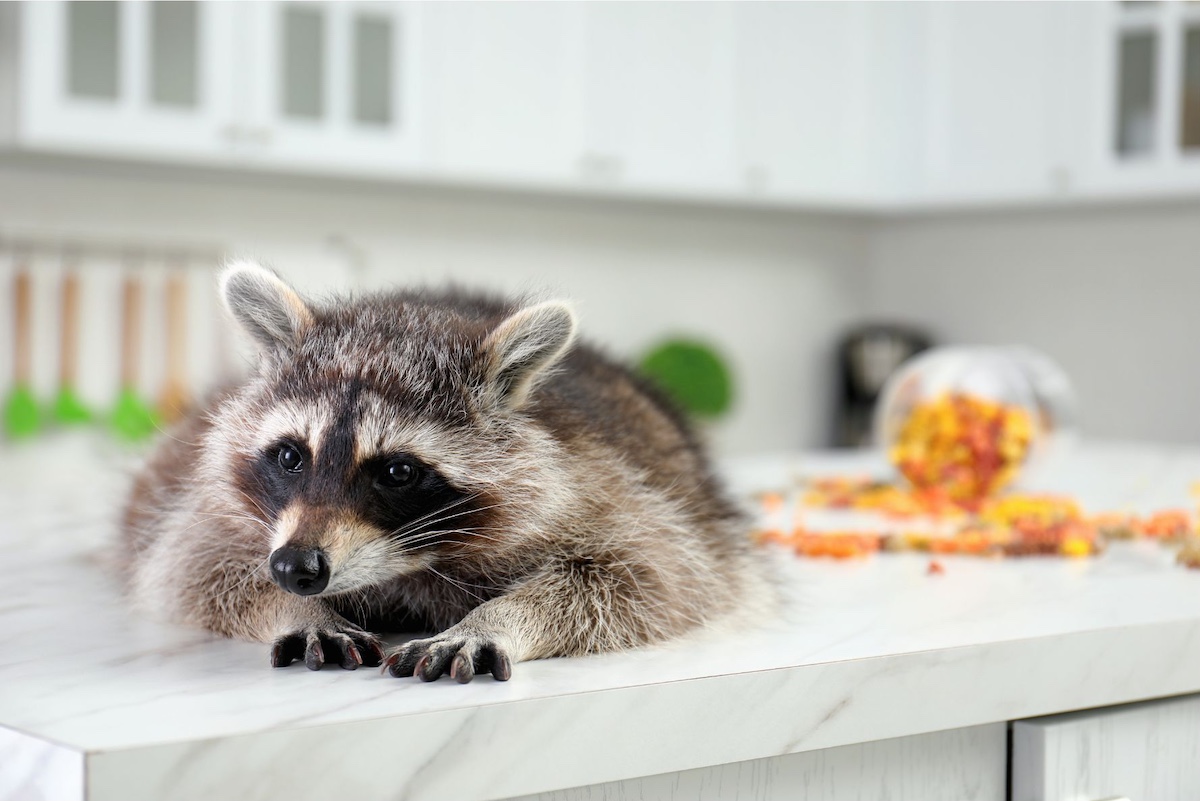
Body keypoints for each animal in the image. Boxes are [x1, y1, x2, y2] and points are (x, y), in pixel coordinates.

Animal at [121, 261, 773, 683]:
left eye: (397, 471)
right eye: (289, 457)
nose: (295, 568)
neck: (408, 565)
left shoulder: (606, 485)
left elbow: (645, 577)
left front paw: (499, 618)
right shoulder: (212, 512)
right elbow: (195, 566)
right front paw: (294, 610)